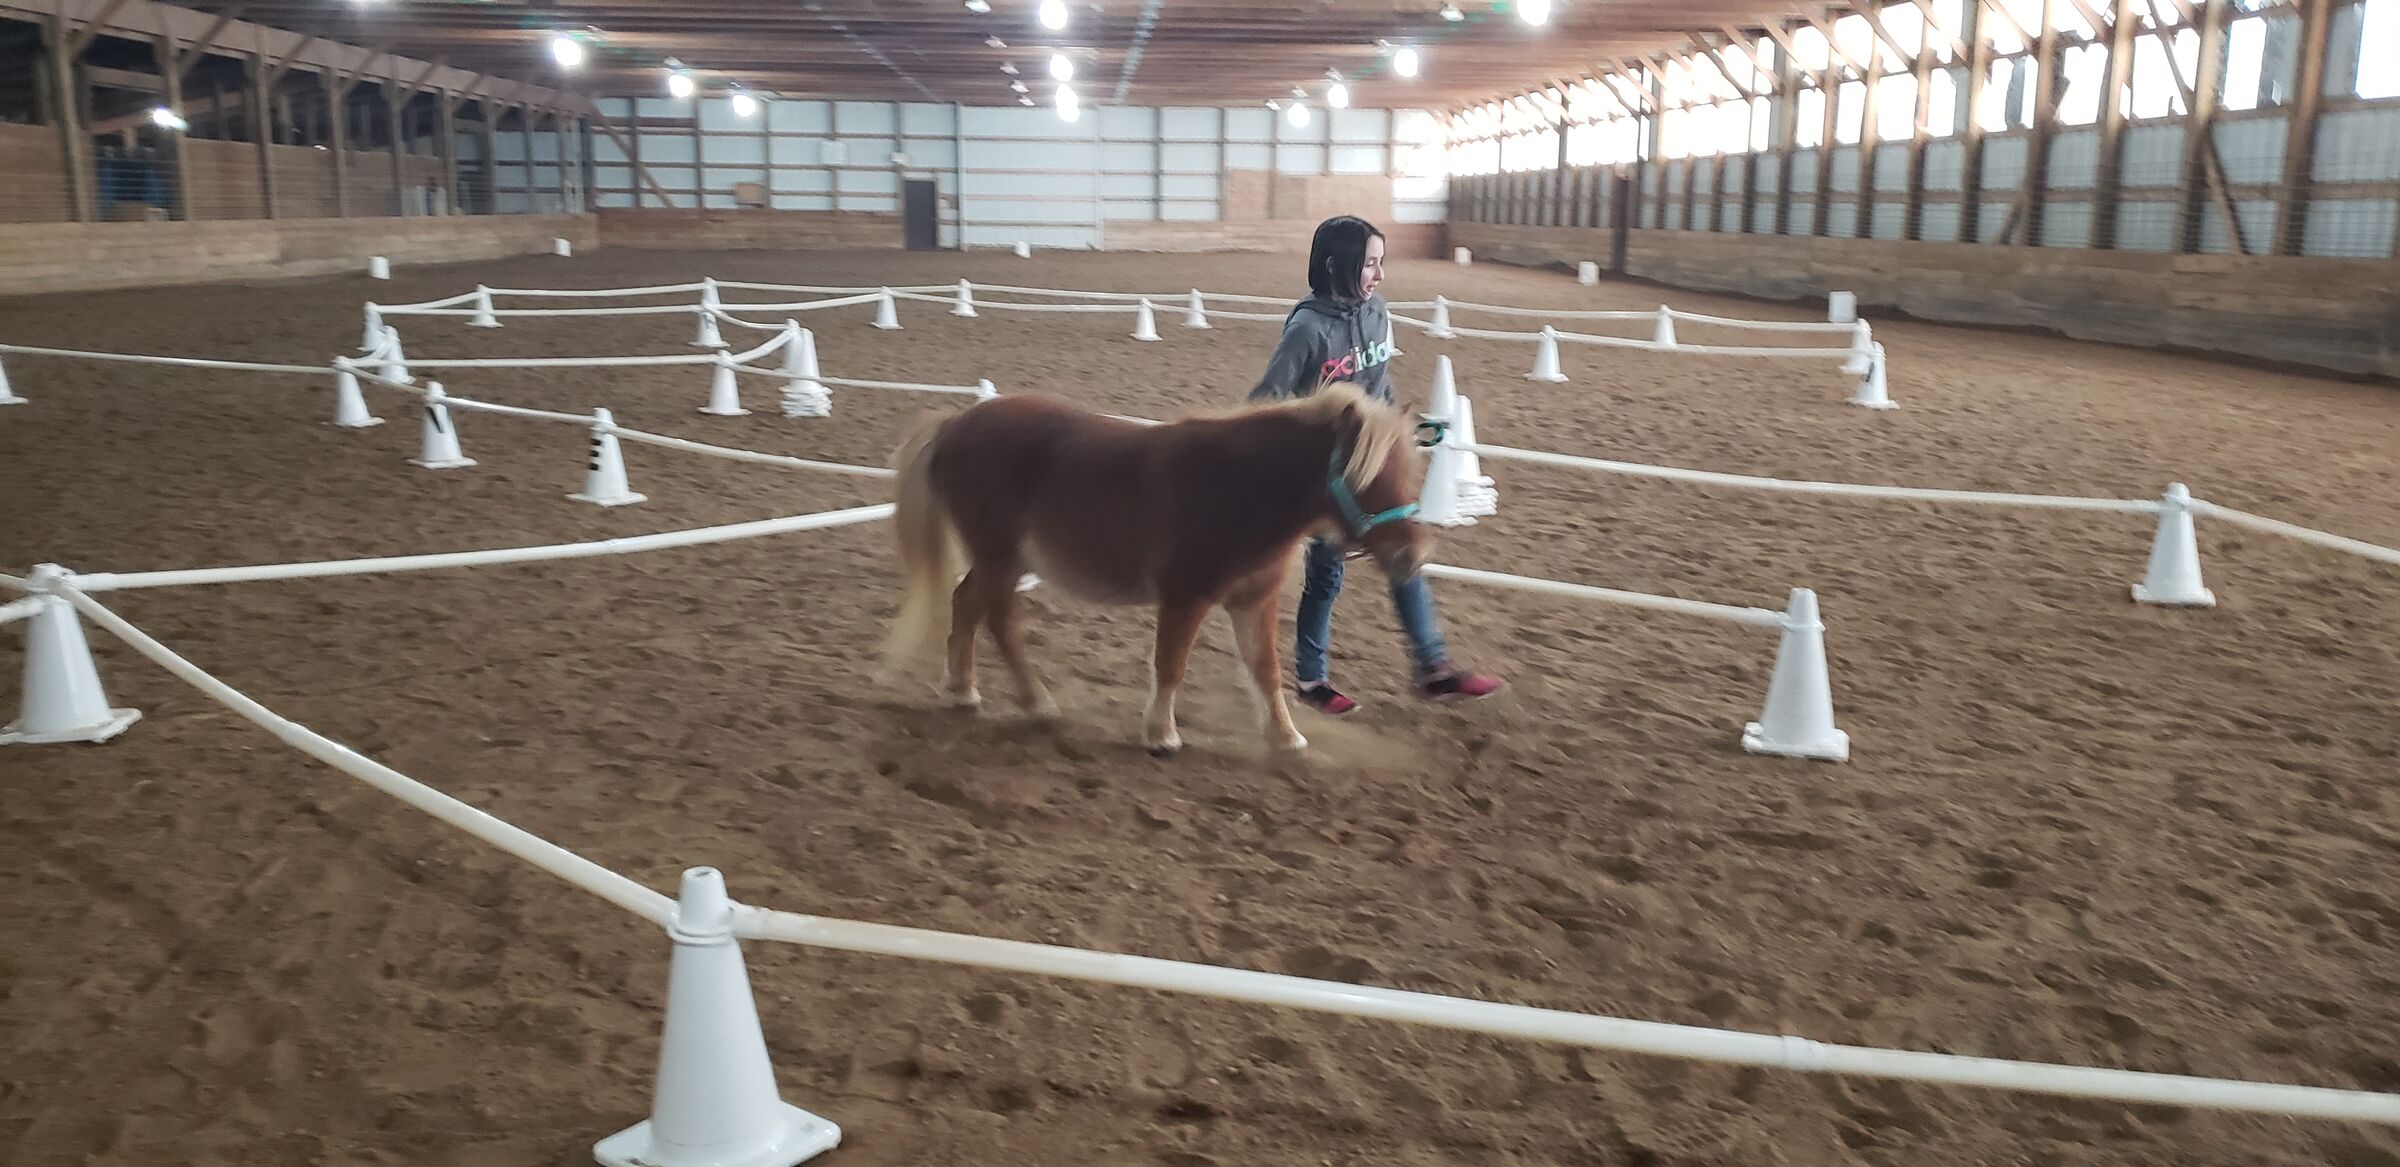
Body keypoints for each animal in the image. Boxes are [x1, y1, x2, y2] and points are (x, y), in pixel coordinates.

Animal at [880, 384, 1431, 755]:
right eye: (1364, 478)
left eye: (1408, 474)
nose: (1412, 558)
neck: (1238, 487)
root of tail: (956, 424)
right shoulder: (1185, 596)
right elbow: (1171, 663)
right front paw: (1162, 734)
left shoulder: (1254, 601)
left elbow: (1266, 669)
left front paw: (1285, 737)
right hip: (999, 556)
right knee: (997, 619)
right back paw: (1035, 703)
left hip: (1000, 560)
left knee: (967, 605)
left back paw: (963, 691)